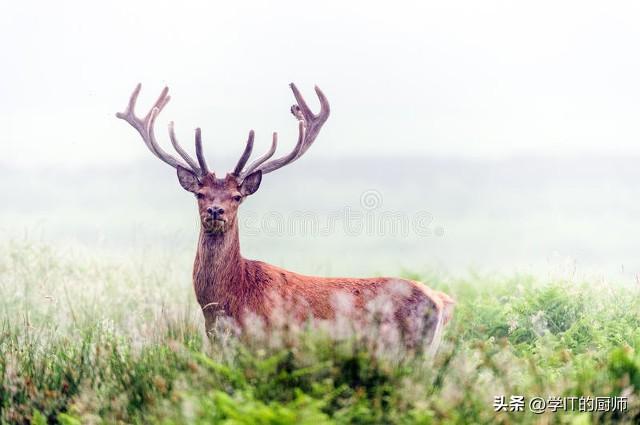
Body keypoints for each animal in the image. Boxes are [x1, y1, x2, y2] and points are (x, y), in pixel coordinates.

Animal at [116, 83, 456, 352]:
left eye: (237, 197)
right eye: (200, 194)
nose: (215, 210)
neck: (227, 303)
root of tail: (440, 300)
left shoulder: (265, 342)